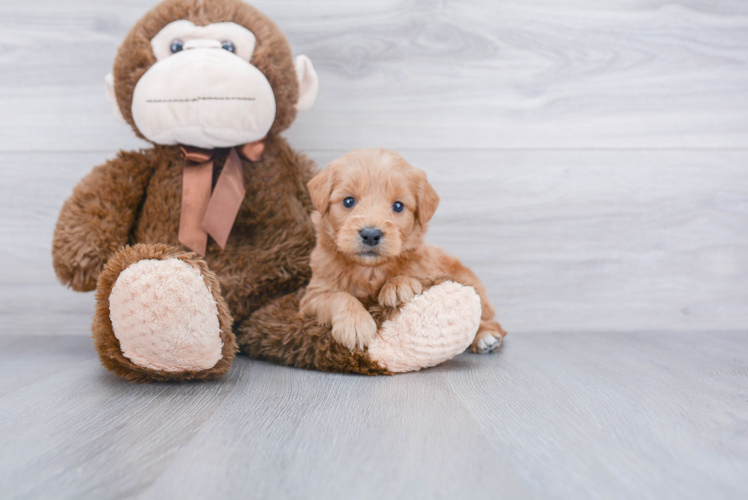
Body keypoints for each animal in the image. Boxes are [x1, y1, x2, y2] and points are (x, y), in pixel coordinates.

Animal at [300, 149, 506, 356]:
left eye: (398, 206)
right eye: (348, 201)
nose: (371, 234)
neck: (370, 270)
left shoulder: (427, 269)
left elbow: (413, 273)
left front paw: (398, 285)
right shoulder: (312, 297)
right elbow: (338, 297)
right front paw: (355, 324)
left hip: (471, 284)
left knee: (487, 318)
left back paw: (486, 337)